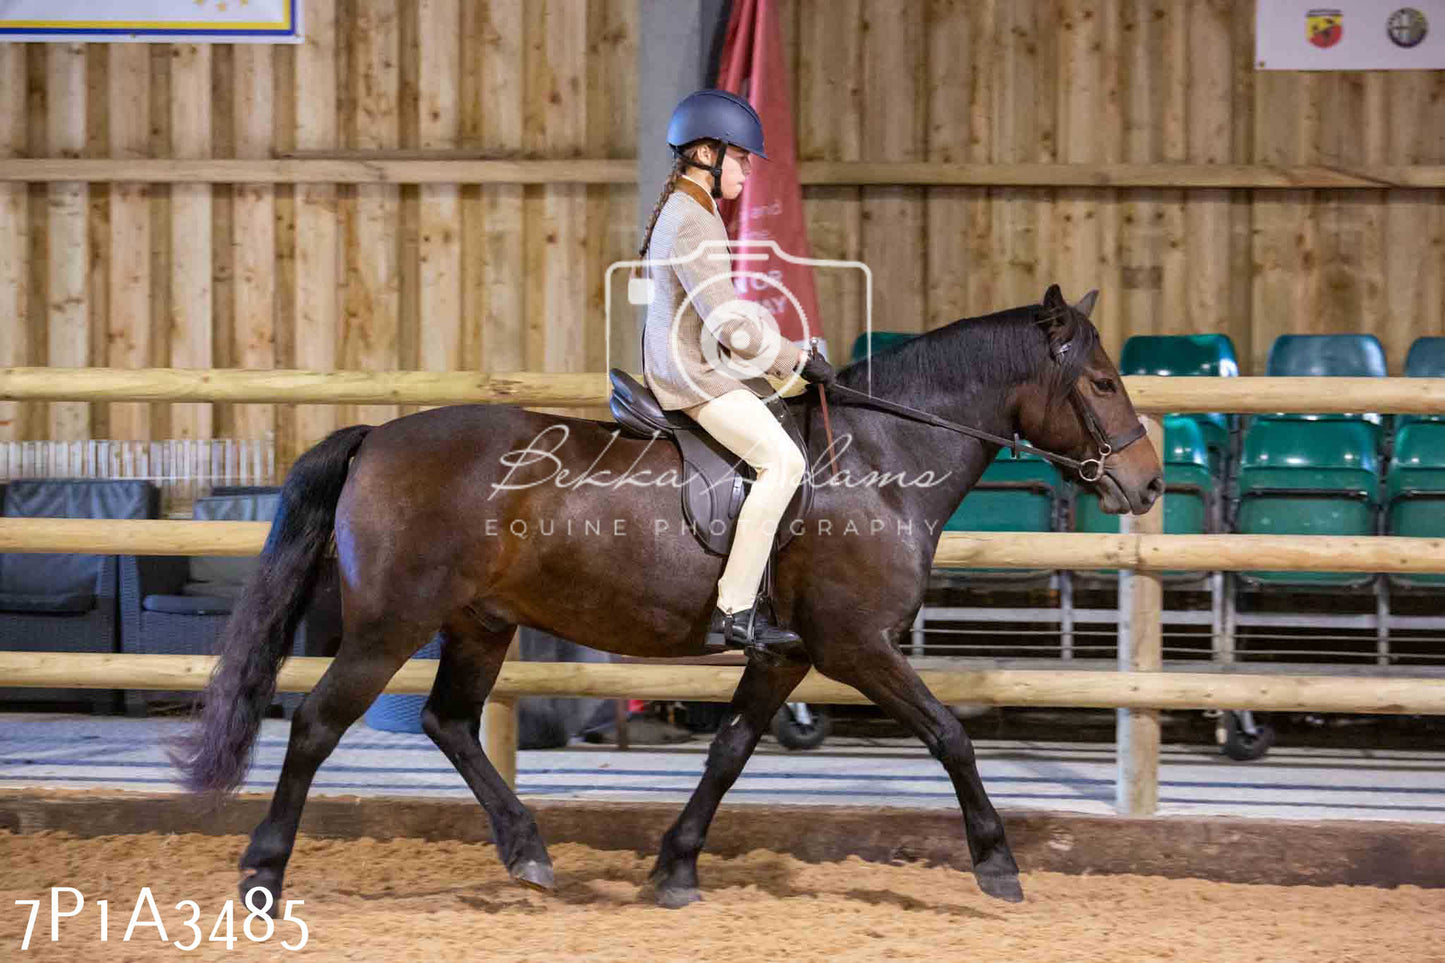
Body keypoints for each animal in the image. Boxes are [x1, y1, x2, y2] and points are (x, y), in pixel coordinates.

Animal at [169, 283, 1161, 908]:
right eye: (1101, 382)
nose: (1146, 484)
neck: (880, 463)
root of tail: (377, 436)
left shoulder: (788, 653)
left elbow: (727, 750)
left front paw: (676, 867)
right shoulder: (856, 647)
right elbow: (950, 734)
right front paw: (997, 863)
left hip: (479, 623)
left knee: (449, 722)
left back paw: (527, 851)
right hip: (389, 625)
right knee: (316, 724)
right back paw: (263, 875)